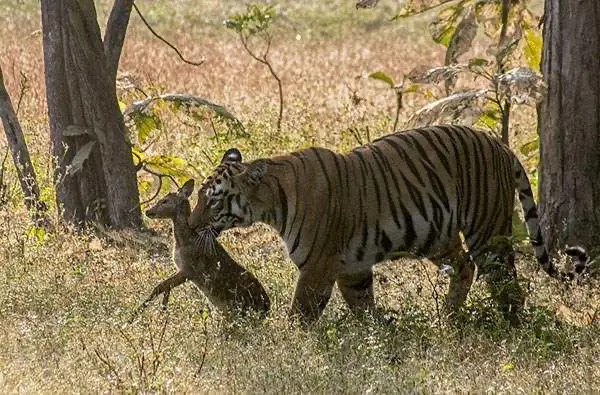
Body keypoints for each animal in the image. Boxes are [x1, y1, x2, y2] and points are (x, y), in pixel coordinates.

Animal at [137, 179, 270, 318]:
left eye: (165, 201)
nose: (148, 211)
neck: (183, 242)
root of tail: (268, 309)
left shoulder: (189, 269)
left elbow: (160, 286)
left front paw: (137, 312)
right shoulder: (182, 268)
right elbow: (165, 287)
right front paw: (162, 308)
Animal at [191, 126, 592, 324]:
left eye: (214, 200)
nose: (192, 226)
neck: (272, 202)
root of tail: (500, 145)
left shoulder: (317, 267)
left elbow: (299, 315)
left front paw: (287, 347)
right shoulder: (352, 267)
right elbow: (362, 306)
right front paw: (375, 338)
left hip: (486, 231)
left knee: (506, 283)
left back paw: (511, 327)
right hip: (436, 235)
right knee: (465, 266)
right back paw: (448, 321)